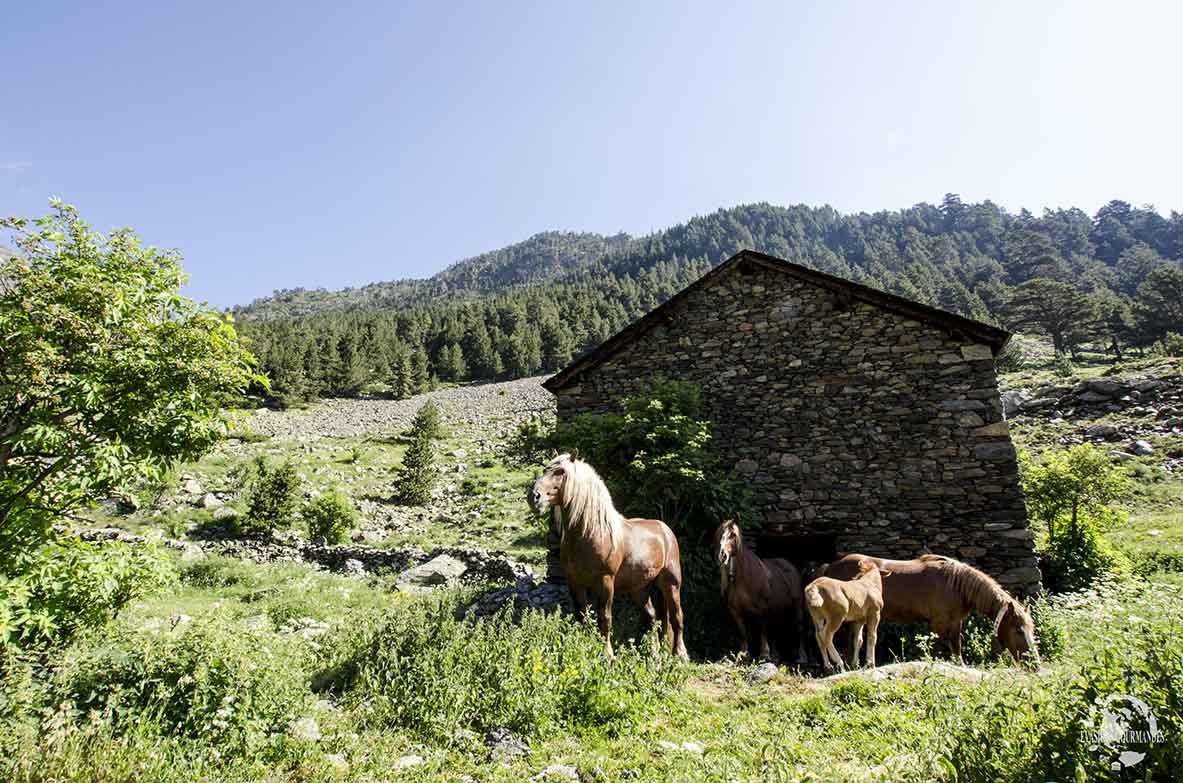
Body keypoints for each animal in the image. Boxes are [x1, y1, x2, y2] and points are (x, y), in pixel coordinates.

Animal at [529, 454, 690, 662]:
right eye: (545, 470)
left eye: (561, 472)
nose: (534, 497)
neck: (589, 533)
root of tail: (665, 529)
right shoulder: (574, 582)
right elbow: (581, 616)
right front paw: (584, 649)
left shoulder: (605, 582)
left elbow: (604, 619)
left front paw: (608, 655)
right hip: (639, 588)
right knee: (652, 617)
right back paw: (654, 654)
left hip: (671, 583)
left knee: (677, 617)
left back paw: (681, 654)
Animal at [705, 520, 809, 662]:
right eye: (720, 534)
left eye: (733, 535)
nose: (722, 555)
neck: (741, 579)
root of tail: (790, 566)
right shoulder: (736, 610)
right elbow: (743, 632)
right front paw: (744, 655)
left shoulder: (762, 608)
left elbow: (763, 629)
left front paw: (764, 654)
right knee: (777, 628)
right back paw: (776, 655)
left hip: (797, 606)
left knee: (799, 628)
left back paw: (802, 656)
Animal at [823, 551, 1036, 667]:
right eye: (1019, 630)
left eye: (1031, 629)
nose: (1035, 664)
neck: (956, 584)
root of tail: (830, 566)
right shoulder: (938, 624)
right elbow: (936, 650)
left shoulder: (955, 622)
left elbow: (956, 647)